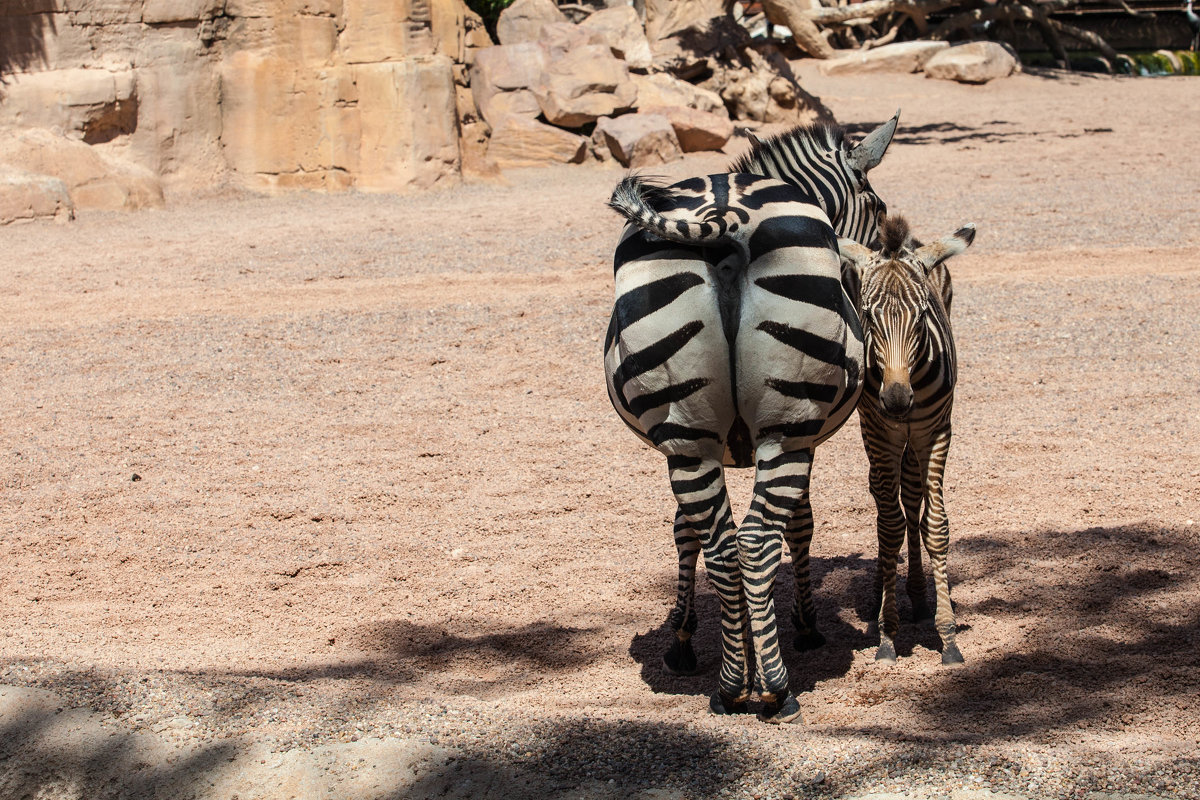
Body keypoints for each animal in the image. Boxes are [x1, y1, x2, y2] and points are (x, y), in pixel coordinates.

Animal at [604, 115, 897, 724]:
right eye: (877, 206)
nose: (873, 261)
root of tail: (725, 214)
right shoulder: (804, 436)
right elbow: (801, 524)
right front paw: (805, 627)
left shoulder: (691, 446)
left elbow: (685, 531)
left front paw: (684, 639)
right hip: (788, 432)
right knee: (759, 541)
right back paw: (775, 690)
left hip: (688, 435)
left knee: (725, 546)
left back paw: (732, 686)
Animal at [835, 215, 974, 666]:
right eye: (867, 316)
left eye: (923, 315)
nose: (897, 400)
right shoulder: (880, 433)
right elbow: (889, 525)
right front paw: (887, 633)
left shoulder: (936, 430)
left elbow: (935, 525)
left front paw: (948, 637)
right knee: (885, 501)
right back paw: (884, 588)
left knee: (911, 497)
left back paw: (916, 592)